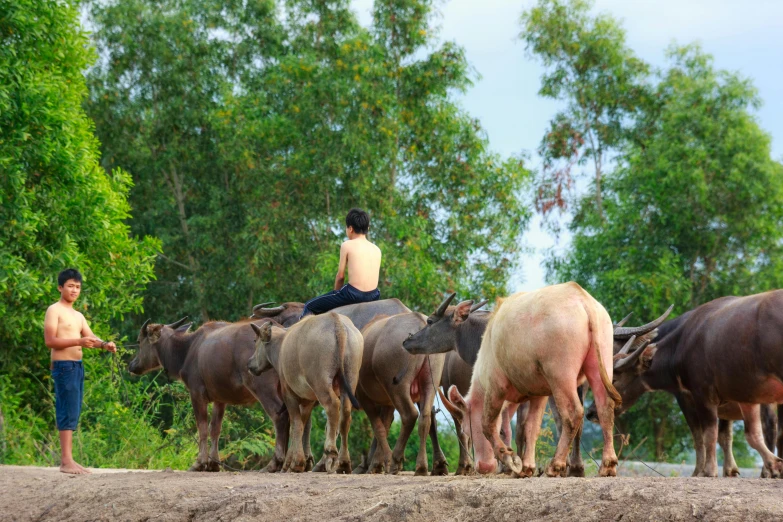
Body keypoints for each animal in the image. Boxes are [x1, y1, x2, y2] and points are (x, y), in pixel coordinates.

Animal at [130, 316, 292, 472]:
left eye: (139, 341)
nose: (132, 365)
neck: (187, 350)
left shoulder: (196, 394)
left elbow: (202, 428)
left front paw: (199, 462)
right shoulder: (220, 399)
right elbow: (215, 429)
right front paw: (213, 463)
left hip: (263, 387)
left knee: (279, 416)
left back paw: (275, 462)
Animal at [248, 310, 364, 474]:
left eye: (255, 341)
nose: (250, 364)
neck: (282, 345)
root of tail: (336, 322)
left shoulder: (289, 394)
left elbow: (296, 425)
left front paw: (295, 463)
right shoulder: (307, 400)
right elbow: (302, 426)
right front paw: (292, 461)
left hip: (321, 383)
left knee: (332, 406)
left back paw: (330, 453)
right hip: (350, 377)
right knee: (345, 413)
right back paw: (344, 462)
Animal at [356, 310, 448, 474]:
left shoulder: (364, 397)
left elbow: (379, 428)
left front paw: (379, 463)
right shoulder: (387, 403)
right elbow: (385, 426)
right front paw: (378, 463)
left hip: (398, 388)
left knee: (410, 415)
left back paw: (396, 460)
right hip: (430, 382)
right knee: (425, 417)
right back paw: (421, 467)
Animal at [600, 290, 783, 478]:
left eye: (614, 378)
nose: (593, 411)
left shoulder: (695, 397)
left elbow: (703, 435)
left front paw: (704, 471)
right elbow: (728, 436)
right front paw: (730, 470)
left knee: (770, 430)